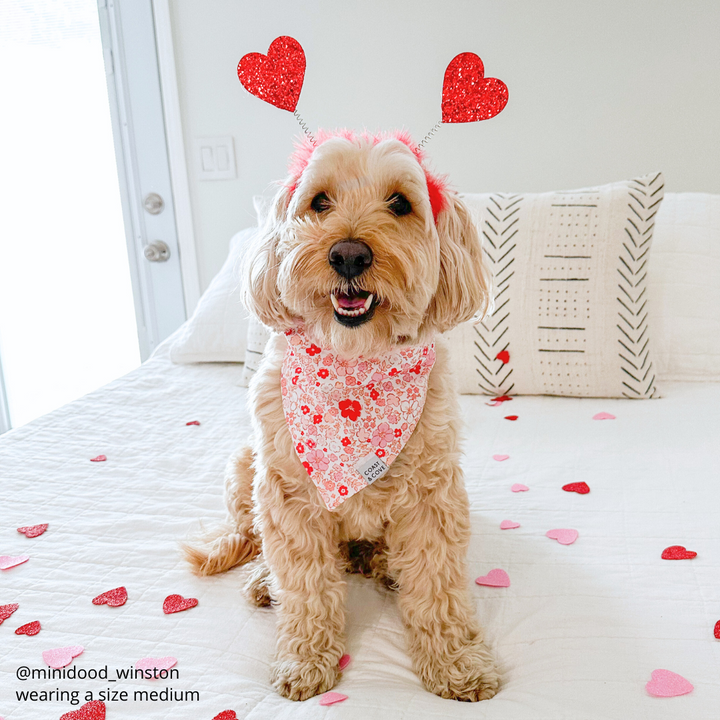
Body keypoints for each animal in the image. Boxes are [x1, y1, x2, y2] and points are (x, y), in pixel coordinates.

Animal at [186, 129, 498, 704]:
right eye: (319, 201)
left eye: (400, 203)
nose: (349, 254)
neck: (354, 363)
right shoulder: (287, 496)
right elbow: (306, 592)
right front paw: (304, 660)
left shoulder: (432, 495)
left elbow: (437, 586)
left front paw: (455, 662)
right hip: (244, 467)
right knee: (258, 542)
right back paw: (264, 580)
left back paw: (383, 564)